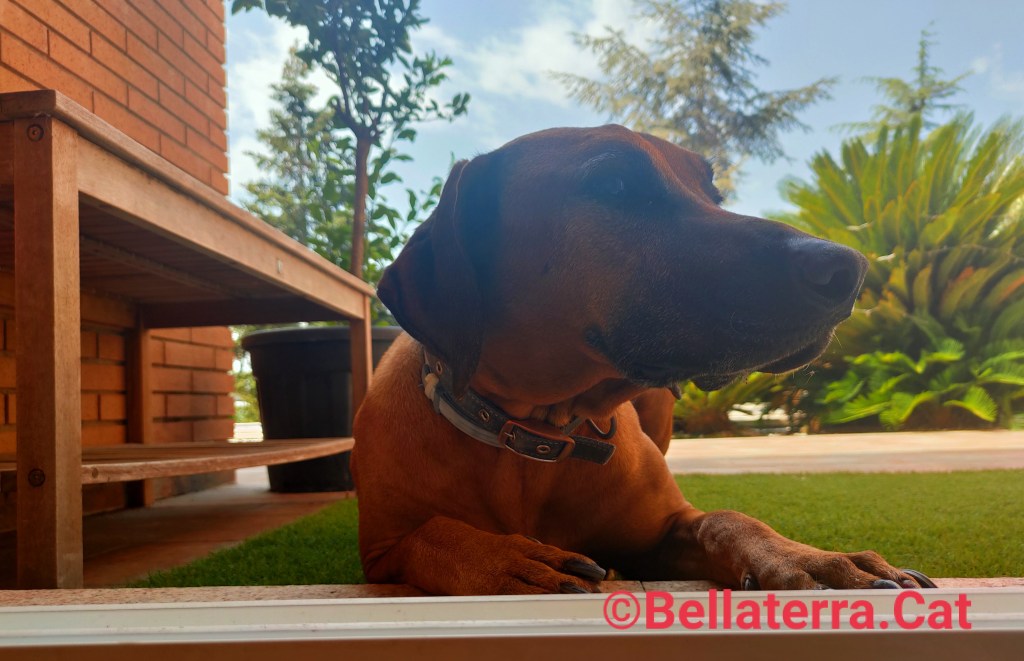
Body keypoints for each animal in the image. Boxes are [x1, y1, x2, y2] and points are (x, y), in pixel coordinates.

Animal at [352, 125, 936, 595]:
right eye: (613, 184)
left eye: (714, 194)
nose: (849, 270)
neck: (533, 434)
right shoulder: (382, 552)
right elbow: (432, 533)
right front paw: (511, 561)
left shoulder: (663, 530)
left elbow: (726, 517)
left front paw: (809, 557)